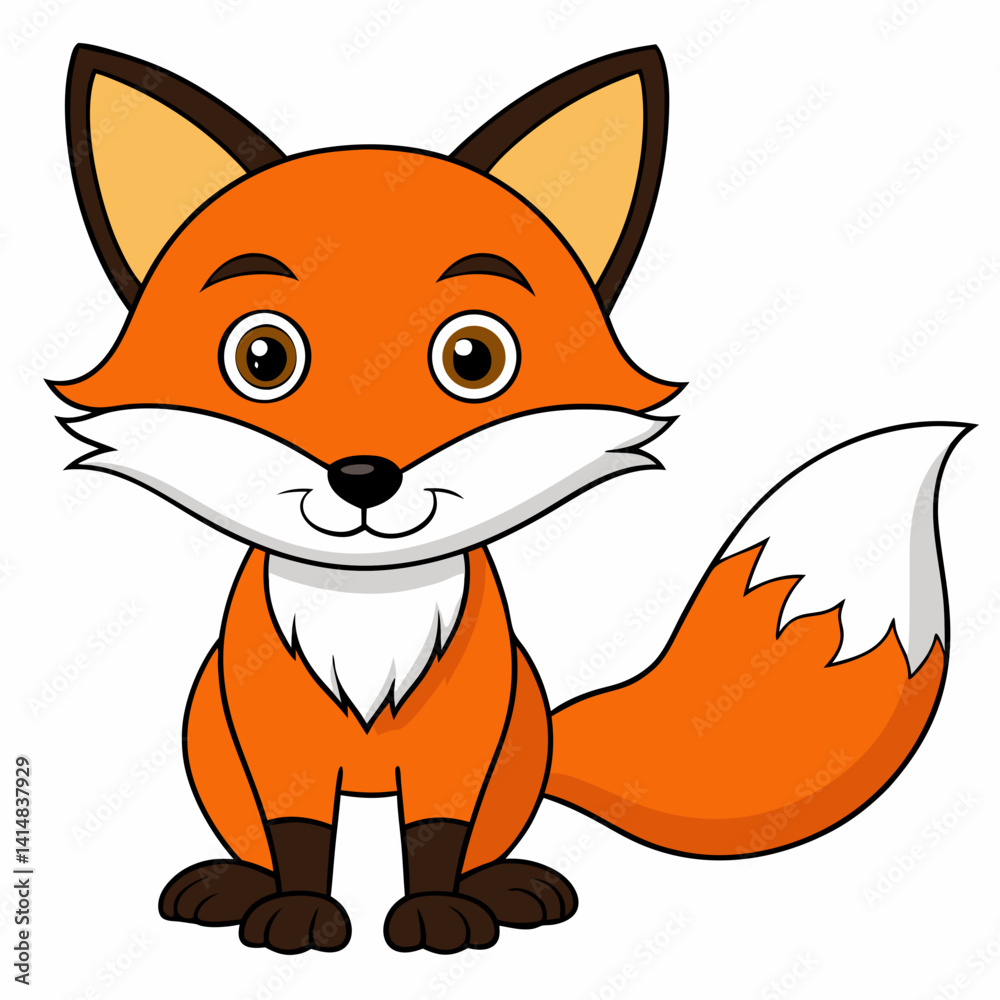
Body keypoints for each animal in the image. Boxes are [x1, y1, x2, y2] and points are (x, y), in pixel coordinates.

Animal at [54, 43, 969, 955]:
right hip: (208, 738)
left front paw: (437, 916)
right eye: (263, 357)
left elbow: (436, 835)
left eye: (473, 357)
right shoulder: (277, 740)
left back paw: (504, 886)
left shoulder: (464, 737)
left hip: (517, 743)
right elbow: (299, 836)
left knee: (489, 838)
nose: (363, 476)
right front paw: (299, 911)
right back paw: (233, 885)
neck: (369, 608)